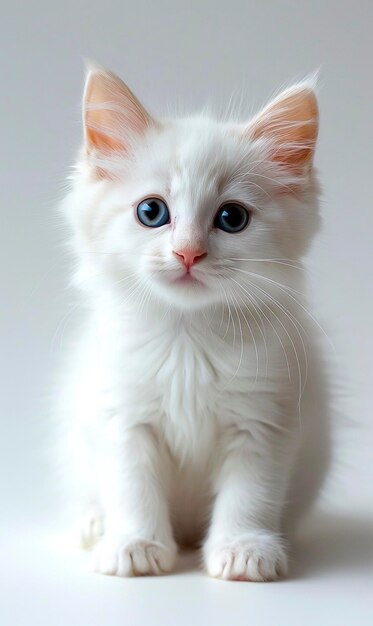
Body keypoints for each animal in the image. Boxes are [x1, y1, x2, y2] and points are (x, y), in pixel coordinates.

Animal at [60, 64, 328, 580]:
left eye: (232, 217)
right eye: (151, 212)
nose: (188, 253)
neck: (187, 338)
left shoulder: (263, 419)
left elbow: (249, 496)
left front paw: (244, 549)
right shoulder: (124, 416)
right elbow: (132, 487)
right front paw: (134, 544)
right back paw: (93, 523)